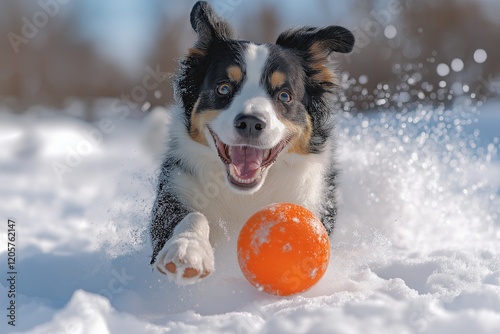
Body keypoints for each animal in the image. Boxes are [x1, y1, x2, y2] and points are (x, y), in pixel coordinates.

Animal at [149, 1, 356, 286]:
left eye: (284, 95)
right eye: (224, 88)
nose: (250, 122)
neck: (246, 195)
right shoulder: (177, 186)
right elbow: (192, 215)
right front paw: (186, 250)